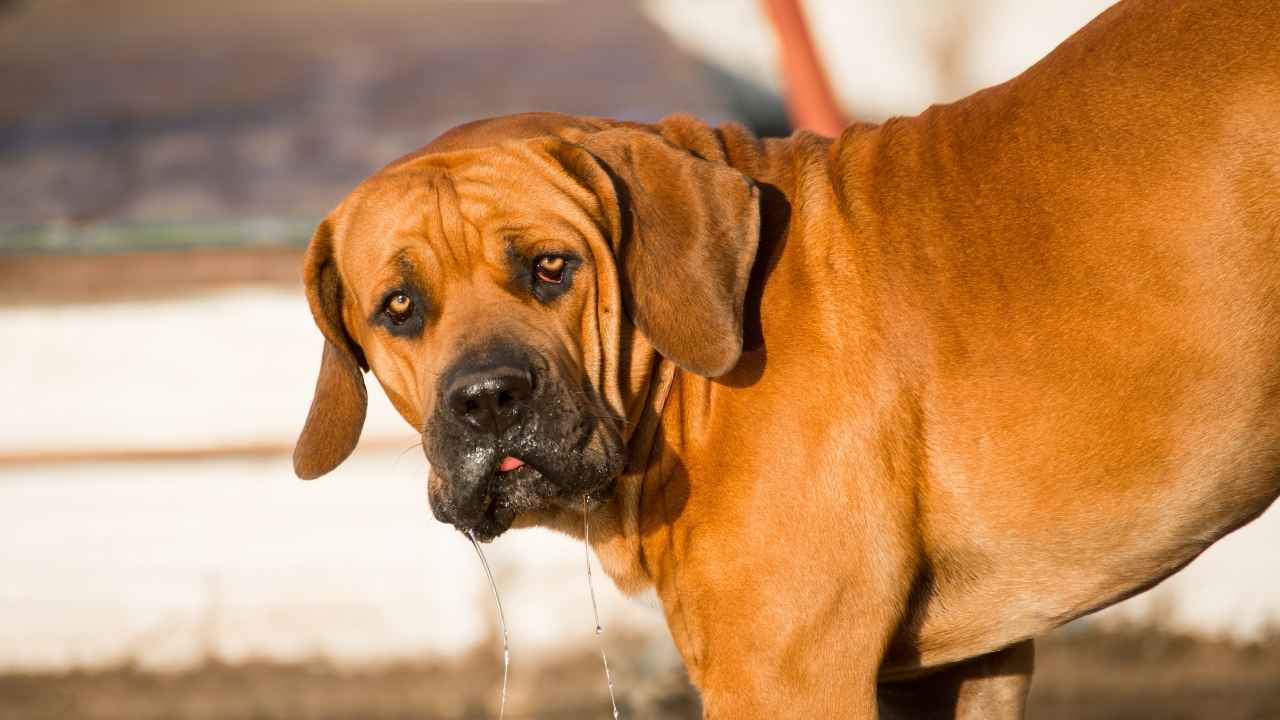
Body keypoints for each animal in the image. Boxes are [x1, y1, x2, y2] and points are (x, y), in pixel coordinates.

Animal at [293, 1, 1280, 712]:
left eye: (549, 267)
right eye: (400, 307)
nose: (489, 398)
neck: (679, 393)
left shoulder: (784, 673)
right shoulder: (957, 670)